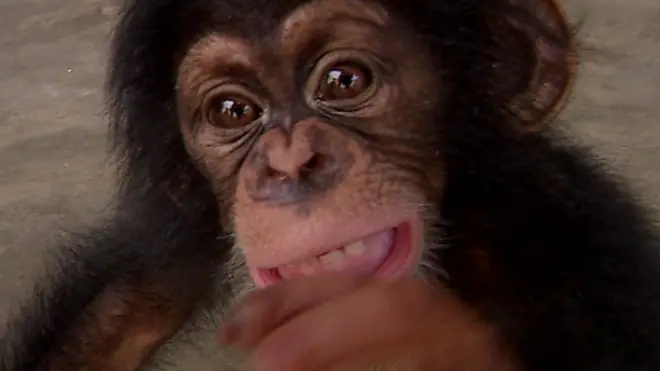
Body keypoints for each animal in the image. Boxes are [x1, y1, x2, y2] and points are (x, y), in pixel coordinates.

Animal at [1, 0, 660, 370]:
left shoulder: (576, 252)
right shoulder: (154, 268)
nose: (292, 163)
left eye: (345, 80)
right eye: (233, 112)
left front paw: (404, 335)